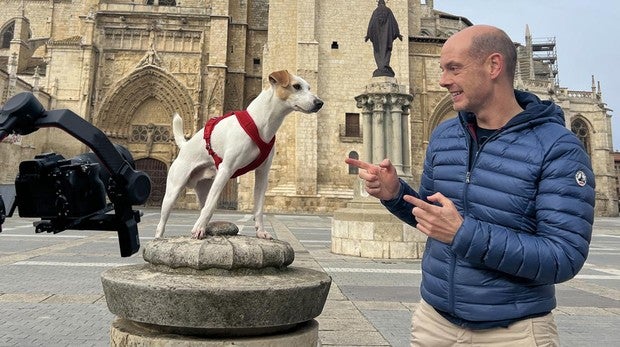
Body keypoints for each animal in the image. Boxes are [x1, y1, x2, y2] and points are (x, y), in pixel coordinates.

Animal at [156, 70, 324, 239]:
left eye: (309, 87)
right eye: (296, 86)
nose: (319, 103)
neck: (261, 124)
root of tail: (184, 146)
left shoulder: (262, 174)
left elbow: (259, 208)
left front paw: (261, 231)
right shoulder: (226, 169)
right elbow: (211, 205)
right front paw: (197, 229)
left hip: (205, 187)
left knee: (204, 205)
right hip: (173, 190)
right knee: (162, 223)